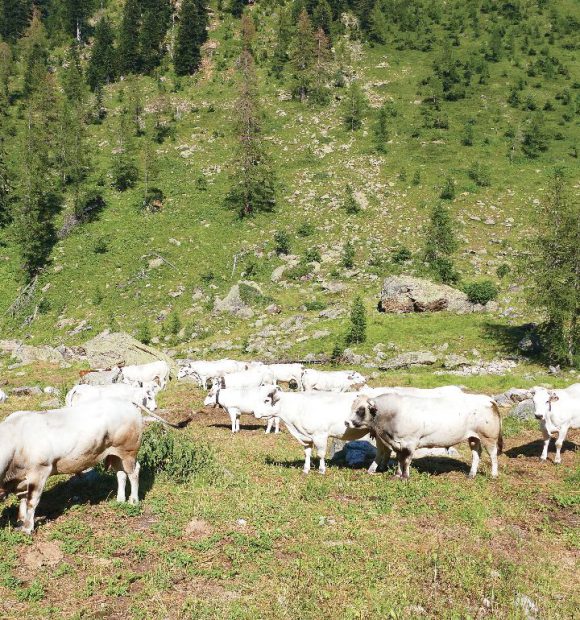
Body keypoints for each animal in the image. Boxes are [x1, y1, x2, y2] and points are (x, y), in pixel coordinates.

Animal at [0, 400, 144, 536]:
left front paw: (28, 528)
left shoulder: (40, 470)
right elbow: (22, 500)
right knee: (121, 473)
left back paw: (133, 501)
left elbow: (31, 501)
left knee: (134, 472)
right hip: (115, 454)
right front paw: (20, 523)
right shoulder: (21, 479)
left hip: (128, 451)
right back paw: (120, 500)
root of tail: (128, 403)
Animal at [344, 392, 502, 480]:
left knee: (493, 455)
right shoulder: (398, 444)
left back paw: (494, 475)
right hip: (474, 437)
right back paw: (471, 475)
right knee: (476, 454)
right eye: (352, 407)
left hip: (489, 437)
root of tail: (488, 399)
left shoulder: (410, 442)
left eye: (361, 409)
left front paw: (405, 477)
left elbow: (406, 461)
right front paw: (397, 475)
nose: (346, 422)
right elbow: (400, 460)